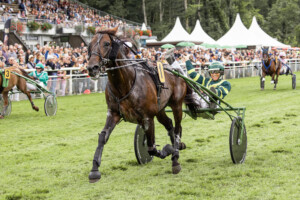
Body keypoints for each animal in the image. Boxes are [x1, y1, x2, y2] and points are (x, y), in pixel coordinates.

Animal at [85, 25, 196, 182]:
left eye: (106, 43)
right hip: (160, 109)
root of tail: (176, 70)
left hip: (176, 105)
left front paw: (168, 150)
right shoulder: (113, 113)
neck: (125, 84)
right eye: (90, 44)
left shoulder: (147, 117)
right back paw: (177, 147)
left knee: (177, 128)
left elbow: (151, 148)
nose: (92, 67)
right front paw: (94, 170)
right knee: (169, 124)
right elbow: (102, 137)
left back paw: (175, 157)